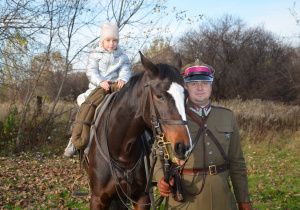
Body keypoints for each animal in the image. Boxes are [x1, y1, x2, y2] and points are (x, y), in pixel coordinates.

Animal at [83, 52, 192, 208]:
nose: (184, 147)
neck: (121, 151)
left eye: (186, 96)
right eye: (159, 96)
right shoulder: (97, 199)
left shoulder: (142, 197)